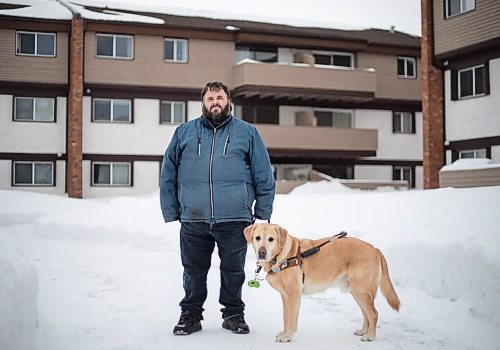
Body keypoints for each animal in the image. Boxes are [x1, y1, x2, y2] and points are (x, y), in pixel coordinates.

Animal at [244, 224, 400, 342]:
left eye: (271, 239)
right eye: (257, 238)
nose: (262, 252)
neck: (281, 257)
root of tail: (375, 249)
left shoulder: (293, 296)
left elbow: (291, 319)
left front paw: (287, 336)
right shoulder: (285, 297)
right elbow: (285, 317)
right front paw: (284, 333)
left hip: (362, 291)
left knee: (373, 314)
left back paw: (370, 336)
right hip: (356, 292)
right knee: (366, 314)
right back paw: (363, 331)